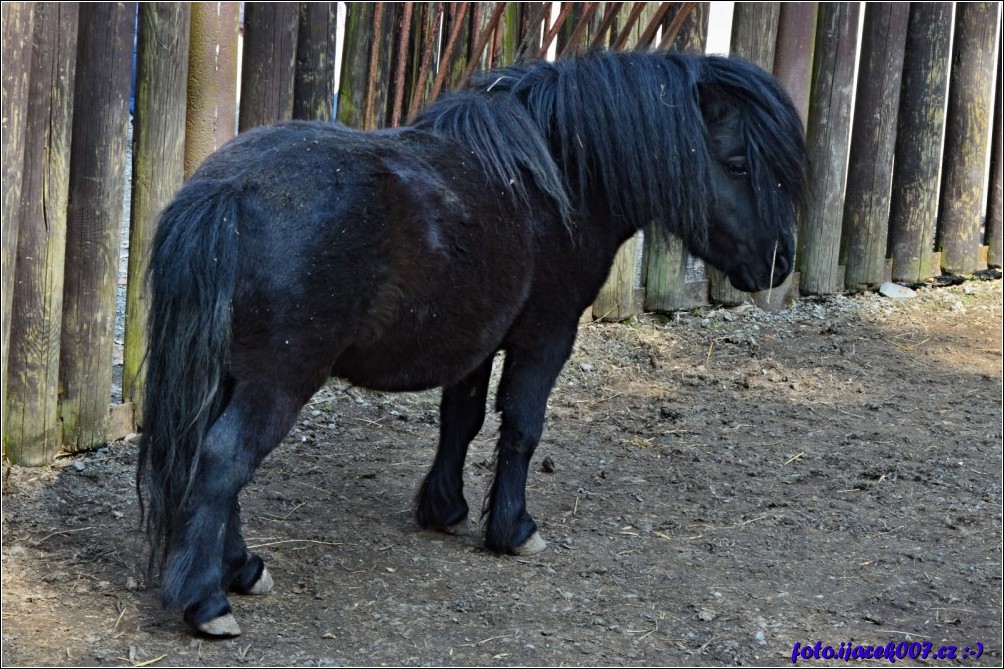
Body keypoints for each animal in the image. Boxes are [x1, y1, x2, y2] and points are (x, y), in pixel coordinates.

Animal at [137, 49, 803, 634]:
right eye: (738, 164)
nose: (780, 260)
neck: (556, 179)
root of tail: (229, 192)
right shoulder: (545, 335)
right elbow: (522, 427)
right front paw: (512, 529)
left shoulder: (475, 342)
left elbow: (461, 421)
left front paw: (445, 508)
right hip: (278, 381)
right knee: (223, 459)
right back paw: (206, 602)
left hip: (231, 375)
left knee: (207, 457)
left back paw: (243, 568)